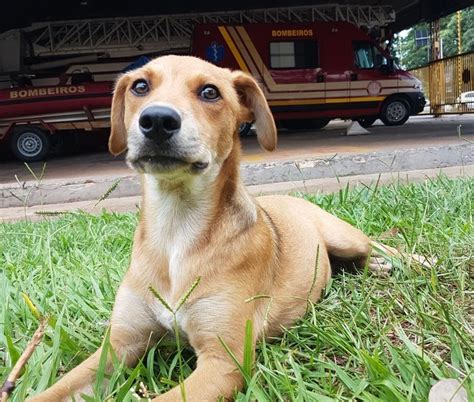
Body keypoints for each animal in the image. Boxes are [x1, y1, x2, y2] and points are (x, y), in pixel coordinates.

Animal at [28, 55, 418, 400]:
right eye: (140, 86)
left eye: (210, 92)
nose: (157, 120)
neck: (176, 228)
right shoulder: (118, 344)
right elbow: (53, 391)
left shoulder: (223, 361)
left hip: (345, 236)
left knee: (381, 247)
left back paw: (408, 262)